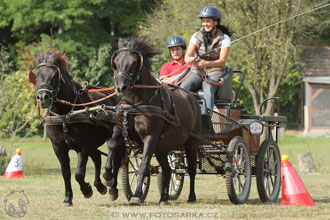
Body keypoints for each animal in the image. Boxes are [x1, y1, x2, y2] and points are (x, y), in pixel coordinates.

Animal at [28, 49, 124, 206]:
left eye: (55, 76)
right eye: (36, 76)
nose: (43, 97)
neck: (65, 114)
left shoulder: (83, 146)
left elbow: (79, 174)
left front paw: (86, 190)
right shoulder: (58, 147)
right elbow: (66, 173)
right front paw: (68, 198)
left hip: (115, 135)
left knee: (115, 155)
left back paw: (111, 186)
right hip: (93, 143)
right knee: (97, 157)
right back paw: (100, 186)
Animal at [107, 38, 202, 205]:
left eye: (133, 62)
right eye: (116, 62)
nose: (120, 87)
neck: (136, 102)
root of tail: (193, 99)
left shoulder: (149, 138)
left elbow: (143, 165)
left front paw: (137, 195)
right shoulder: (120, 129)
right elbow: (112, 145)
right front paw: (108, 179)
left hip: (191, 143)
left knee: (191, 170)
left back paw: (191, 196)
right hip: (162, 148)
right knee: (168, 170)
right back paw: (164, 198)